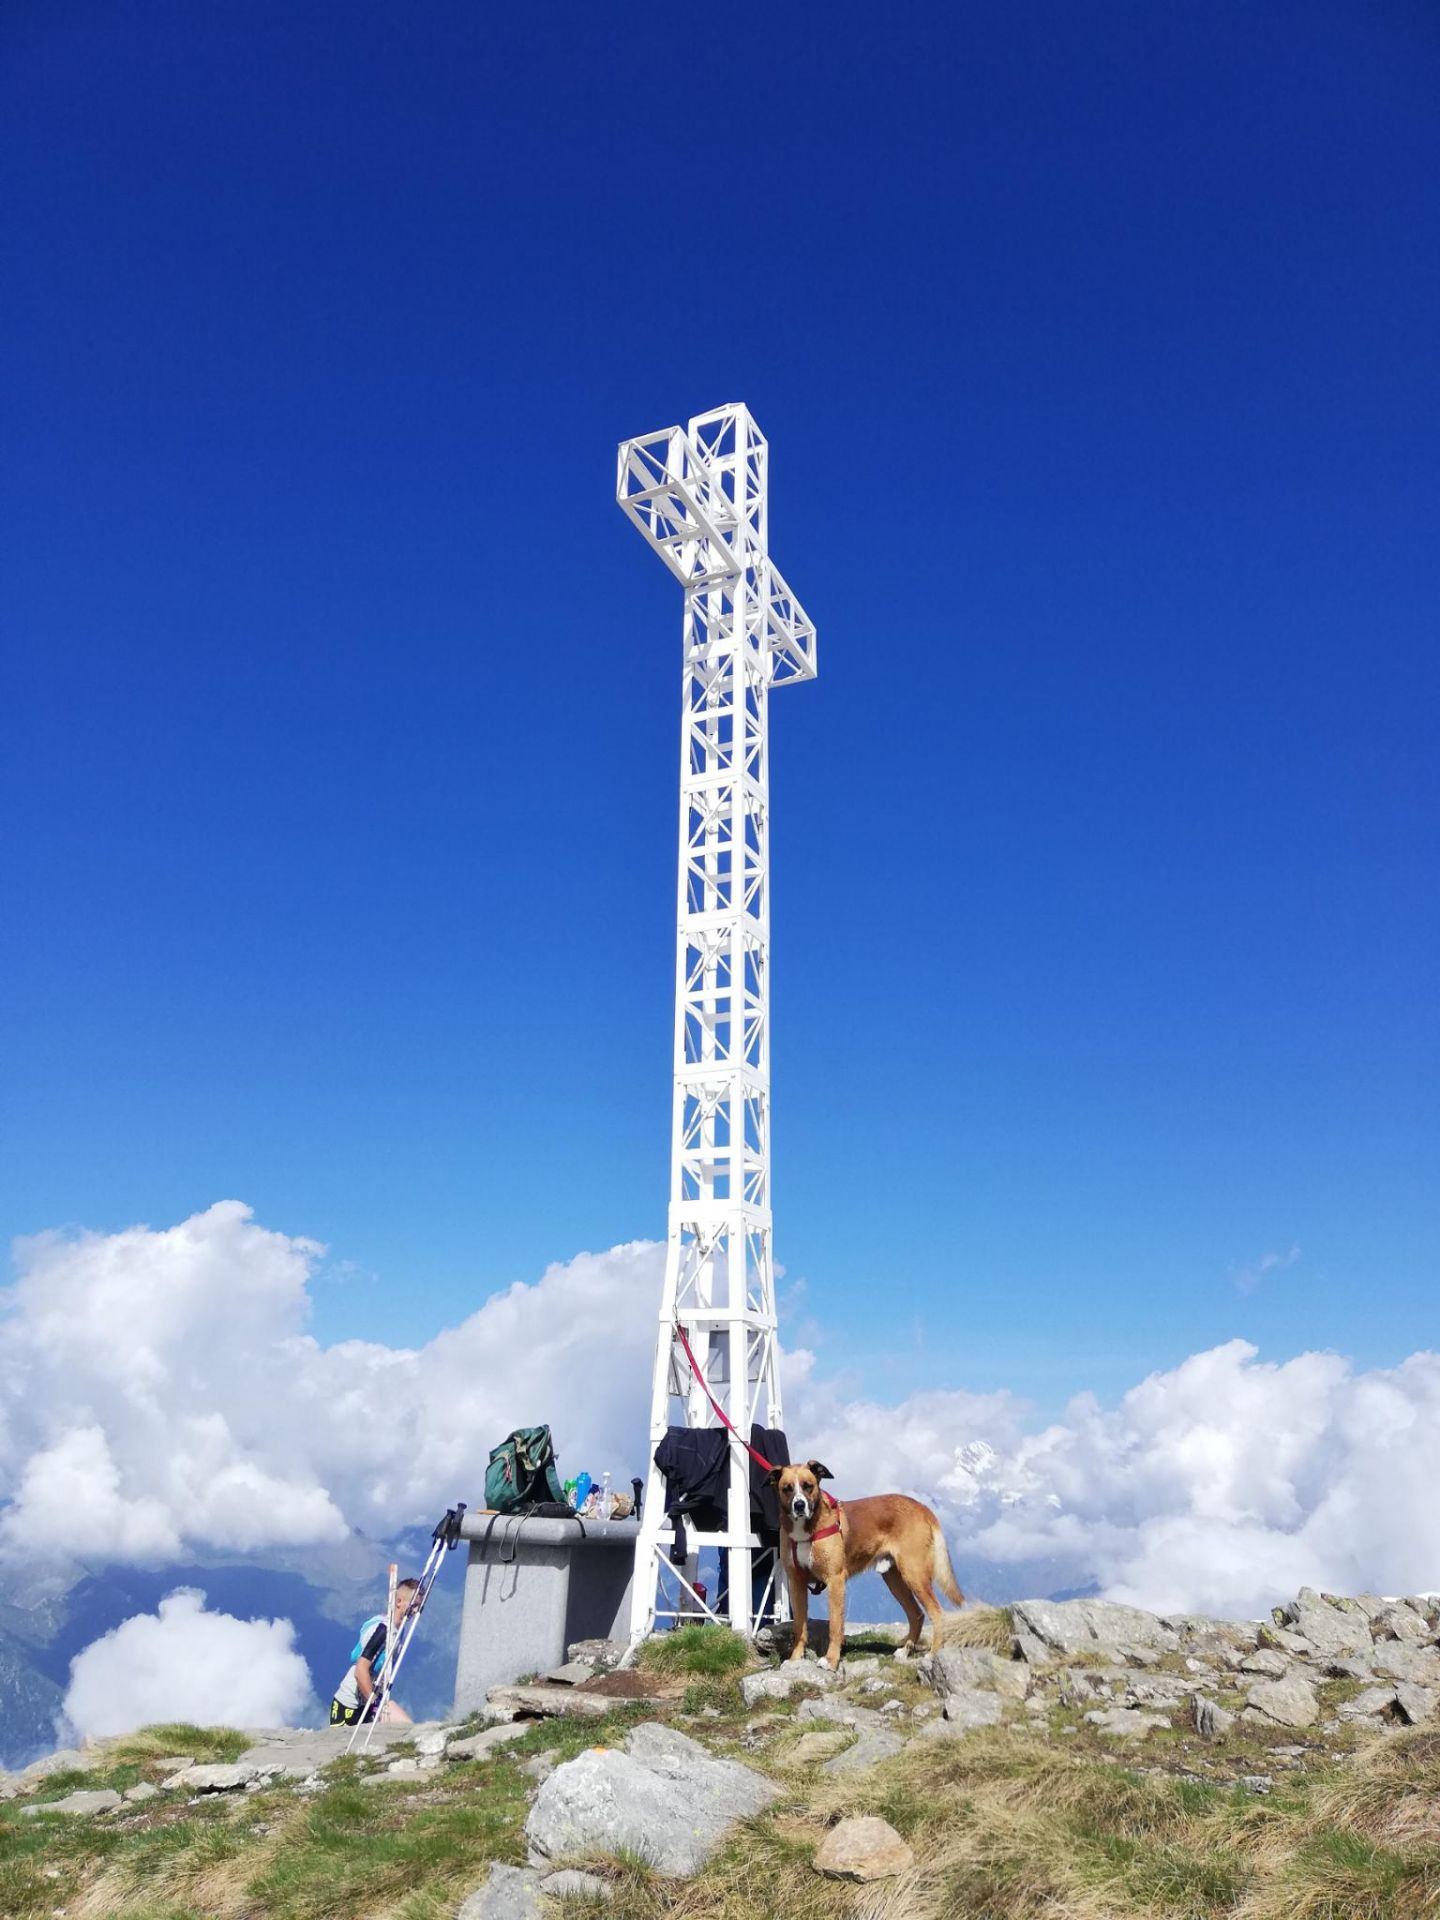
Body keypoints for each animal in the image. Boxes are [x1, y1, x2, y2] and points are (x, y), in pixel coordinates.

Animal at [769, 1460, 963, 1668]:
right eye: (787, 1488)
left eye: (808, 1485)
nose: (799, 1505)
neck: (807, 1529)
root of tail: (921, 1507)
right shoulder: (796, 1583)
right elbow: (799, 1626)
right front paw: (795, 1659)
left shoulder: (835, 1581)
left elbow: (835, 1625)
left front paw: (831, 1661)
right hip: (894, 1579)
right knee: (916, 1614)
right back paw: (905, 1651)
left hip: (914, 1573)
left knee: (937, 1613)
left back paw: (933, 1654)